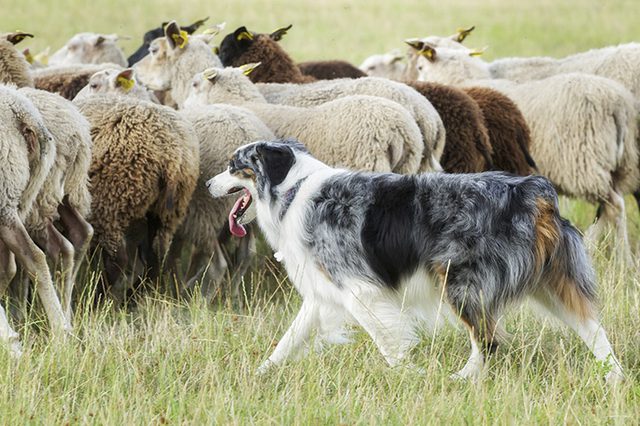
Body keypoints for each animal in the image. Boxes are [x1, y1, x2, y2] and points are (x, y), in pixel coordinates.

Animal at [73, 94, 198, 300]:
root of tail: (172, 152)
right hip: (167, 211)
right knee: (156, 259)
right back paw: (133, 298)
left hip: (110, 202)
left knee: (117, 261)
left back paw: (99, 300)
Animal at [208, 139, 624, 382]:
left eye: (233, 165)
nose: (207, 184)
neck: (292, 189)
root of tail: (531, 191)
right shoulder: (323, 291)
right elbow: (288, 341)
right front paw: (260, 374)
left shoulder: (359, 290)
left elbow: (388, 341)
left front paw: (410, 374)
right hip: (551, 282)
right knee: (592, 327)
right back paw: (614, 376)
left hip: (460, 282)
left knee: (488, 340)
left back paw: (460, 380)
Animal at [412, 45, 636, 260]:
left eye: (420, 66)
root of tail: (620, 105)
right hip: (619, 166)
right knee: (609, 207)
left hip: (583, 163)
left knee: (615, 205)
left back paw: (622, 259)